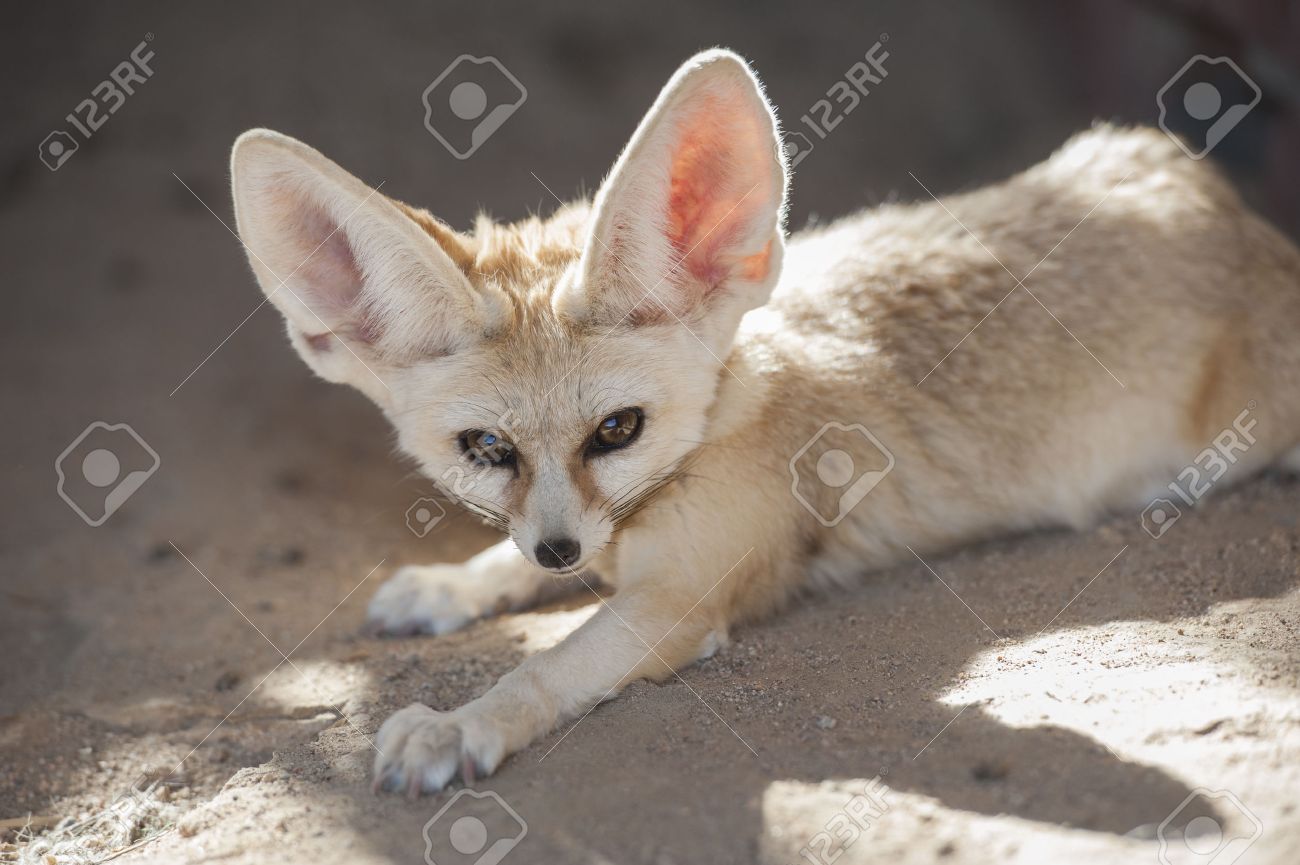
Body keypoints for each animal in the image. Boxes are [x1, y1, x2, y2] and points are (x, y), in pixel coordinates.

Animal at [229, 49, 1300, 796]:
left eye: (617, 430)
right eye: (487, 449)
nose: (561, 551)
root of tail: (1238, 218)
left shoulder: (678, 602)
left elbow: (549, 665)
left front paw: (461, 720)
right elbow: (510, 564)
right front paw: (454, 583)